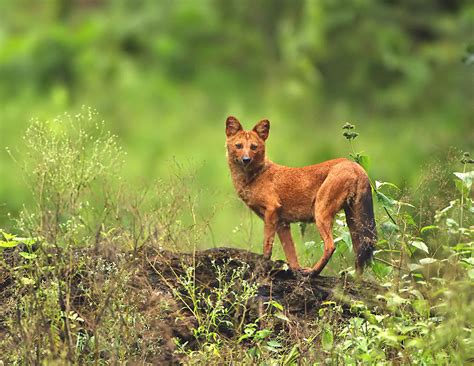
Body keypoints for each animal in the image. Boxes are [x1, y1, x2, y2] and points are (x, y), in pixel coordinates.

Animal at [226, 117, 378, 274]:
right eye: (239, 146)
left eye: (253, 147)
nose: (246, 159)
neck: (252, 178)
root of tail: (356, 165)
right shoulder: (282, 223)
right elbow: (291, 253)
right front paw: (295, 270)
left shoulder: (272, 210)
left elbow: (267, 244)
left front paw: (263, 264)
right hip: (353, 220)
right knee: (361, 252)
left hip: (321, 211)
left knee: (331, 246)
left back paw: (313, 272)